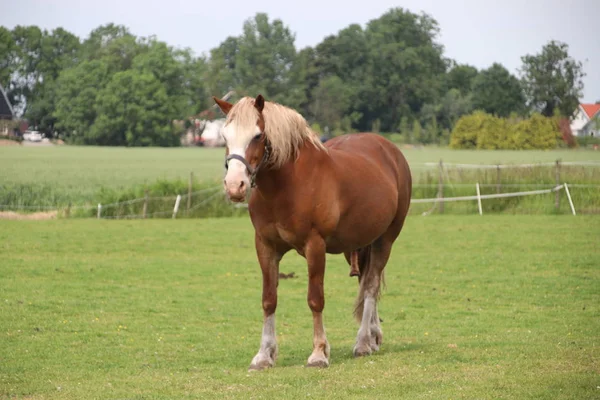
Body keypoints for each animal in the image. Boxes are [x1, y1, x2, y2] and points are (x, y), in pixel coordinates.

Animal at [212, 93, 412, 368]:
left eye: (258, 136)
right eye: (225, 136)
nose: (235, 186)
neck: (287, 186)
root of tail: (392, 152)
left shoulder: (315, 246)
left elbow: (315, 299)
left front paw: (318, 353)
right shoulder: (265, 246)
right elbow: (269, 299)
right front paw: (264, 355)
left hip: (386, 240)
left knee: (370, 286)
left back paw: (362, 342)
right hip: (360, 244)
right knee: (365, 282)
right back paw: (372, 337)